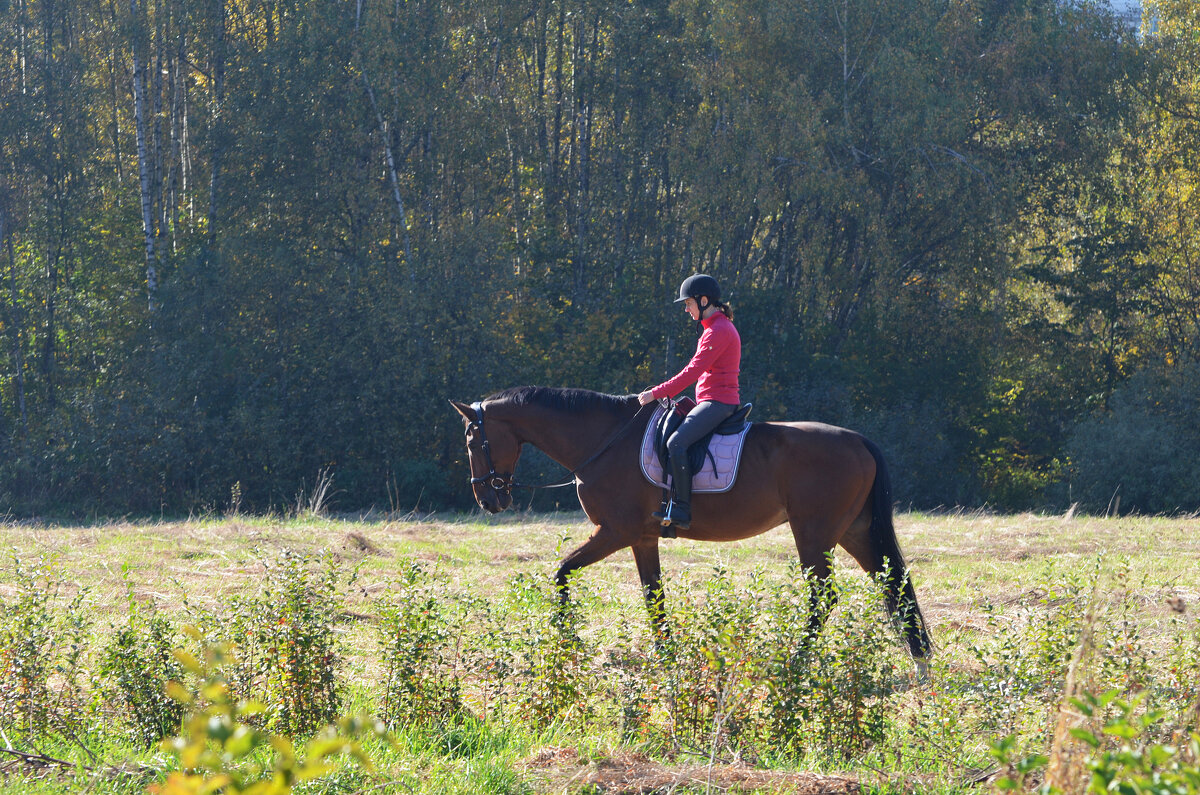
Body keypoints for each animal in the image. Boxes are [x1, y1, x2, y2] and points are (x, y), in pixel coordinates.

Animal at [453, 386, 931, 667]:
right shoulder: (642, 538)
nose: (488, 500)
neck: (604, 441)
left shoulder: (615, 532)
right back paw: (919, 659)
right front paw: (667, 655)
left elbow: (562, 572)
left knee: (824, 597)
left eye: (474, 441)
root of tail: (859, 440)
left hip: (814, 533)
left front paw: (568, 638)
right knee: (895, 587)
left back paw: (796, 658)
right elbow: (654, 597)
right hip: (853, 532)